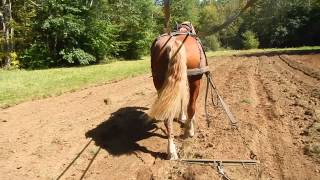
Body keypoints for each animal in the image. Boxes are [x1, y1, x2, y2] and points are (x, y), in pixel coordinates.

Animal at [148, 22, 208, 159]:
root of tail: (173, 43)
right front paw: (188, 122)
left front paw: (182, 117)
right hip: (195, 79)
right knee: (191, 106)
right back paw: (188, 132)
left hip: (160, 82)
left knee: (168, 117)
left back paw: (171, 150)